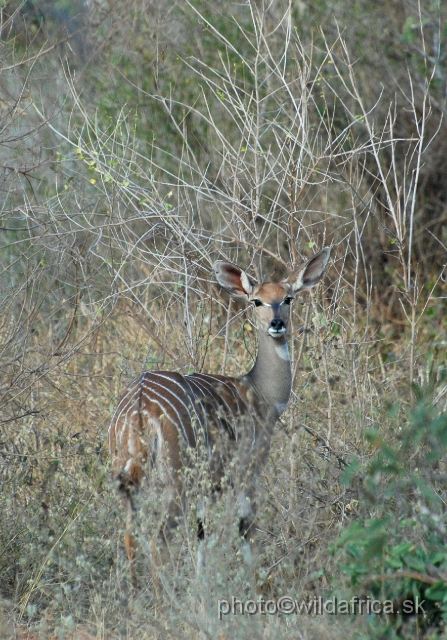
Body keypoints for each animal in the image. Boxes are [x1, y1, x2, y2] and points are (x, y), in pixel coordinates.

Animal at [110, 248, 330, 588]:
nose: (277, 323)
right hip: (176, 479)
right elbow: (245, 526)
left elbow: (202, 531)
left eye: (288, 298)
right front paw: (255, 585)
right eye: (257, 301)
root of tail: (140, 404)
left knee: (130, 533)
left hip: (128, 473)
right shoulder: (248, 468)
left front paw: (202, 586)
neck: (260, 393)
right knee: (159, 538)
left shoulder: (209, 484)